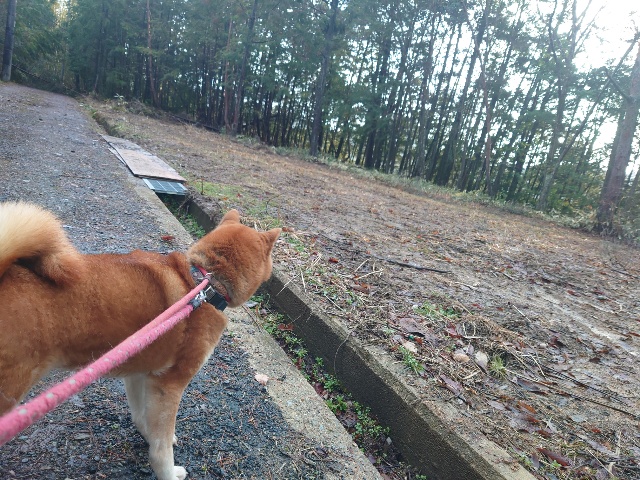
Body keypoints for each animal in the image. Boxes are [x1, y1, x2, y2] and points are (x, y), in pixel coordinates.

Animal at [0, 201, 280, 480]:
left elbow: (143, 419)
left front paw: (148, 436)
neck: (205, 284)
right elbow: (162, 444)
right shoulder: (169, 384)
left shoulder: (140, 371)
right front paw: (168, 471)